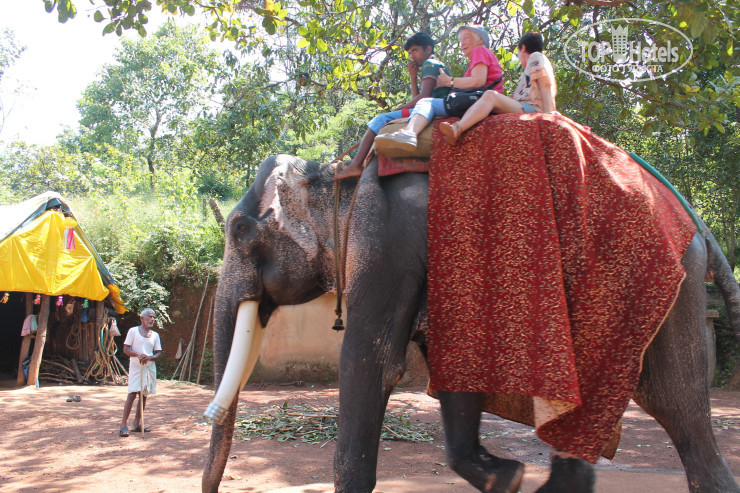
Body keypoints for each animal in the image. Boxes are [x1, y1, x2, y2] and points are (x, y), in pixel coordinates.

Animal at [202, 147, 740, 492]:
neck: (336, 177)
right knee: (658, 404)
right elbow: (454, 358)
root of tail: (697, 223)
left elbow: (368, 364)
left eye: (240, 229)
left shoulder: (386, 243)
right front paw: (505, 477)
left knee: (672, 401)